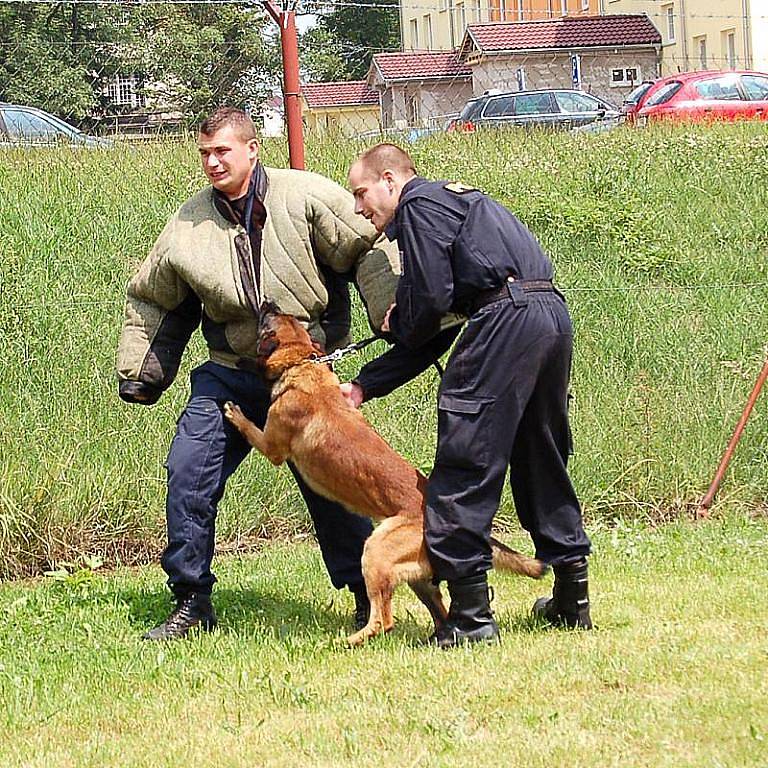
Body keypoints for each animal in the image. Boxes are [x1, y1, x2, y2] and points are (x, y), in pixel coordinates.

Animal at [224, 304, 544, 644]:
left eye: (268, 323)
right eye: (288, 318)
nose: (268, 303)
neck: (303, 363)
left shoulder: (272, 446)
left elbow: (251, 429)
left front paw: (235, 412)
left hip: (375, 553)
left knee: (384, 619)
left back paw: (349, 640)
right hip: (415, 577)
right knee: (439, 610)